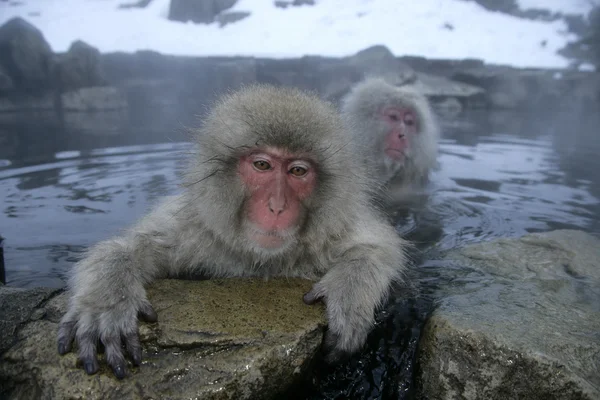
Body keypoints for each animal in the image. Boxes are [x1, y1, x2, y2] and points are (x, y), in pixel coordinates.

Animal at [56, 83, 408, 378]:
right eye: (262, 165)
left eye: (297, 171)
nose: (276, 206)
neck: (262, 258)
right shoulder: (195, 229)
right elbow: (132, 246)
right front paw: (107, 303)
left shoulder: (332, 230)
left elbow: (379, 247)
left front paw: (349, 293)